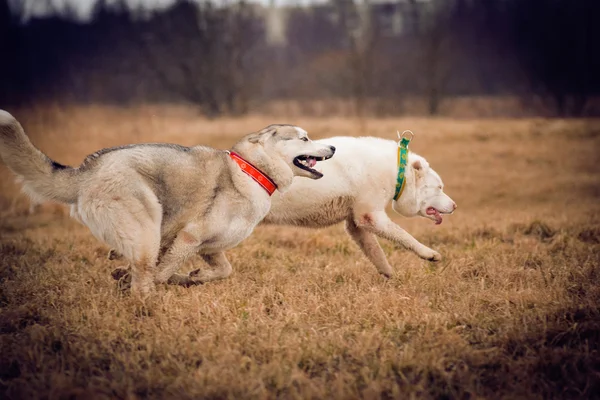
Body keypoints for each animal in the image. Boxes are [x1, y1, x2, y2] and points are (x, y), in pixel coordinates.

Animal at [262, 136, 454, 276]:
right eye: (439, 187)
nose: (455, 206)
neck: (398, 172)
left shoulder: (356, 223)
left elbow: (375, 252)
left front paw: (390, 276)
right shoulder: (370, 216)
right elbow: (404, 236)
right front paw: (428, 253)